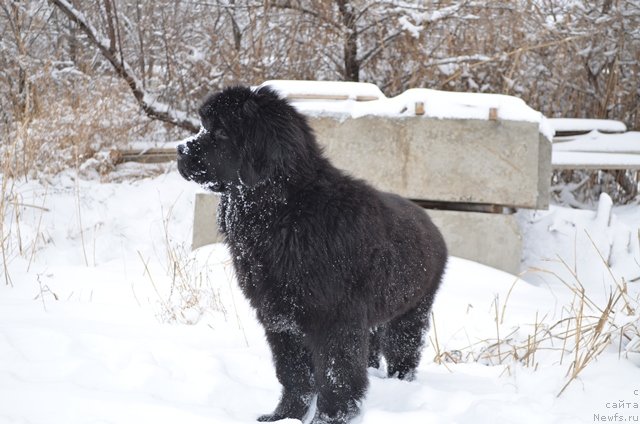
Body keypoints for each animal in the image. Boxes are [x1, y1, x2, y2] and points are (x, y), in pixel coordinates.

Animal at [174, 86, 444, 424]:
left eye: (221, 131)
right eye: (203, 126)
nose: (179, 150)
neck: (286, 212)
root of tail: (430, 222)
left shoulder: (335, 319)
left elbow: (335, 377)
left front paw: (330, 418)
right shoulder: (279, 316)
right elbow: (294, 374)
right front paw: (284, 415)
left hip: (411, 312)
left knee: (403, 352)